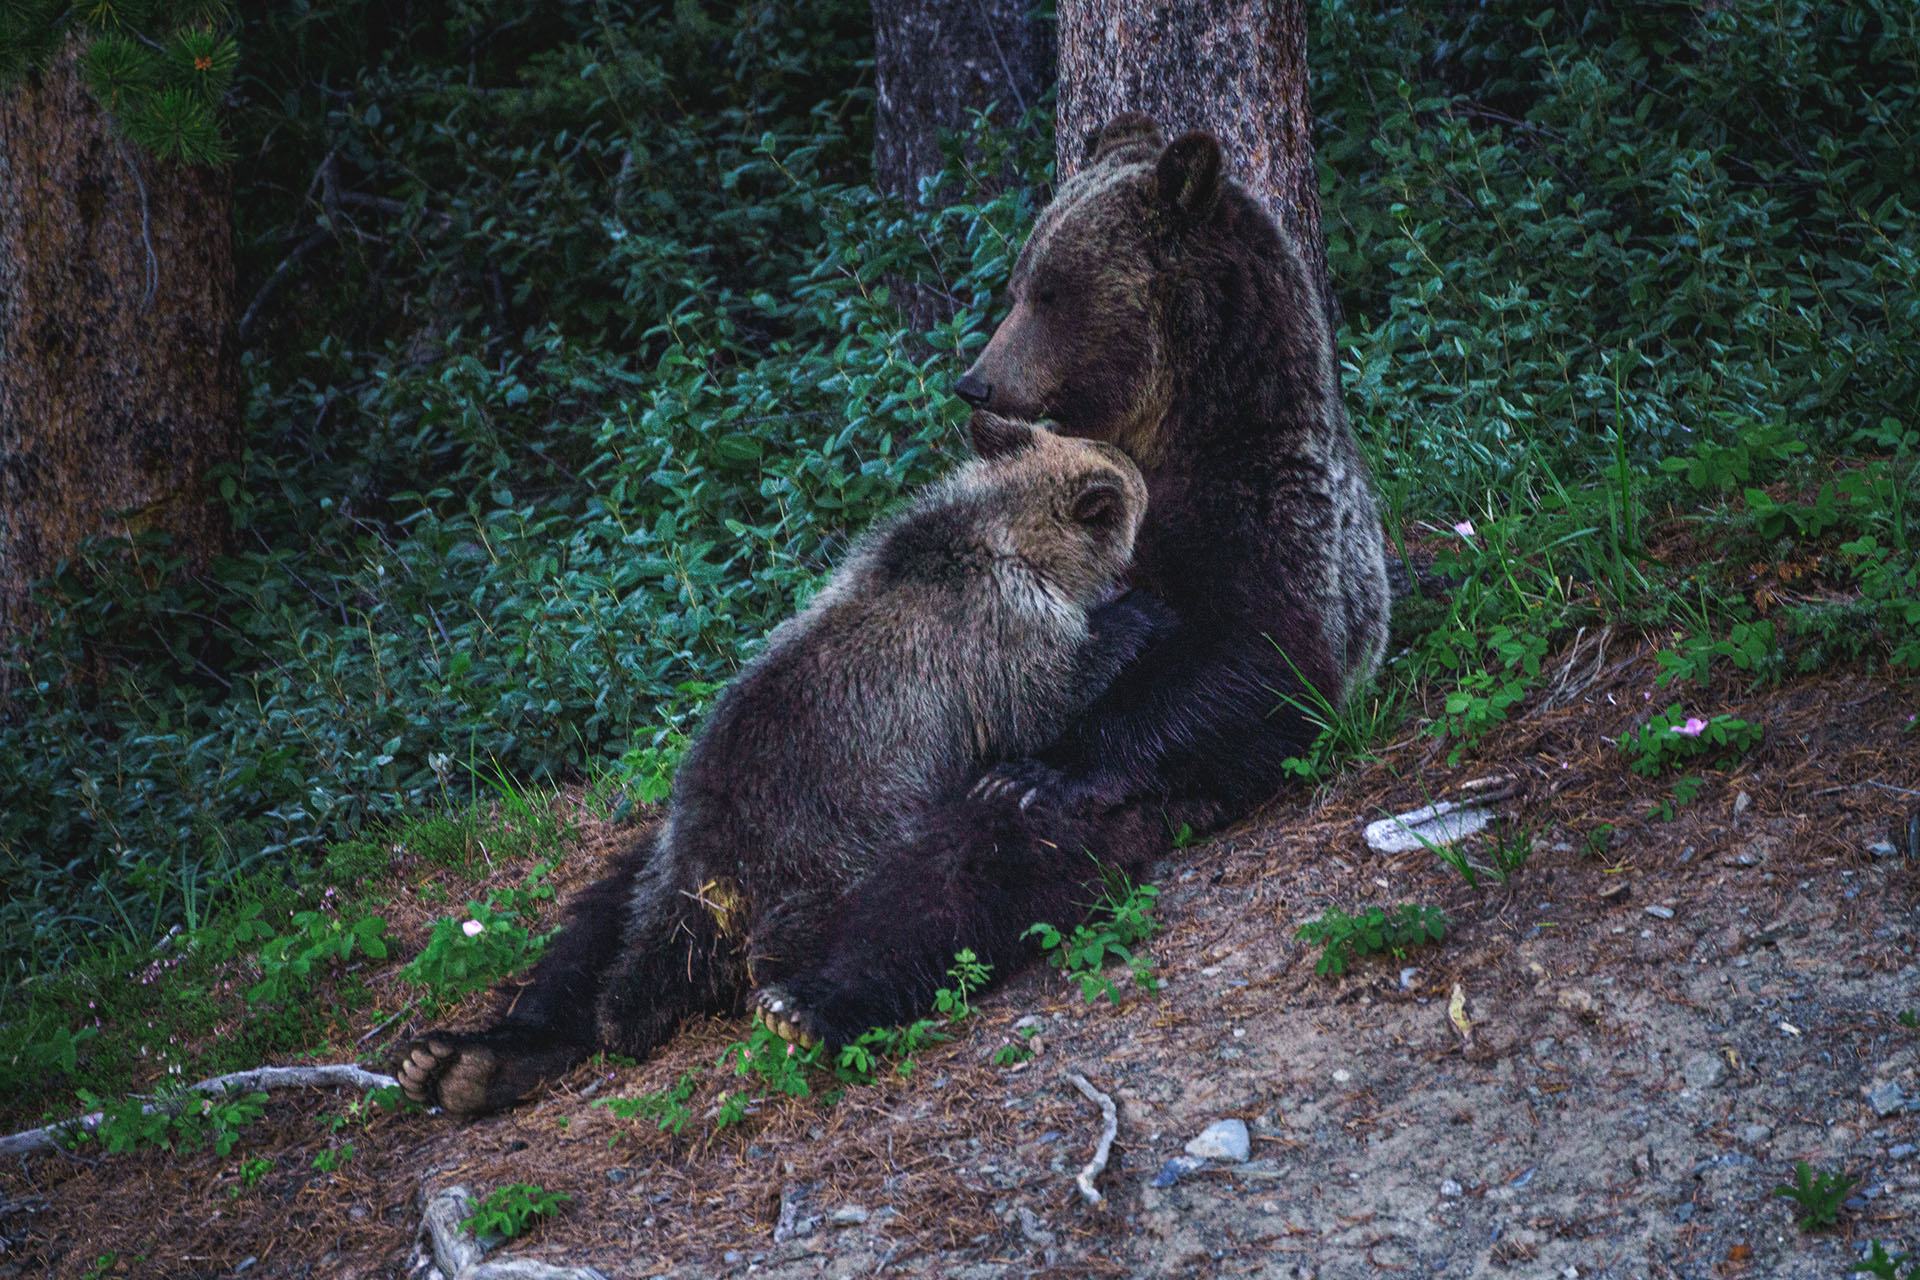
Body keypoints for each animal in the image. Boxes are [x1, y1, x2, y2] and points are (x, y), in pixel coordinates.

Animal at [395, 422, 1159, 1120]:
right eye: (1135, 491)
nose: (1143, 475)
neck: (1002, 538)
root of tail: (710, 881)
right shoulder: (992, 642)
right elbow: (1048, 693)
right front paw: (1130, 616)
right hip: (832, 844)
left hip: (675, 861)